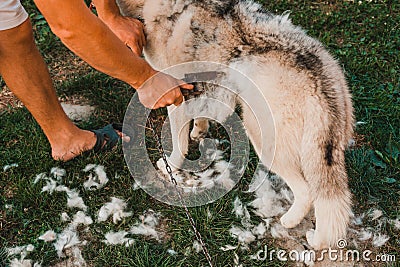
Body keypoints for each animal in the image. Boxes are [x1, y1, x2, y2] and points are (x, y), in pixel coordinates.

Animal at [117, 0, 354, 249]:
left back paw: (291, 221)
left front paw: (169, 165)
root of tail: (319, 83)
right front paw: (199, 132)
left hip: (263, 141)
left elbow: (179, 145)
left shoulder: (173, 95)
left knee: (307, 191)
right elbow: (200, 117)